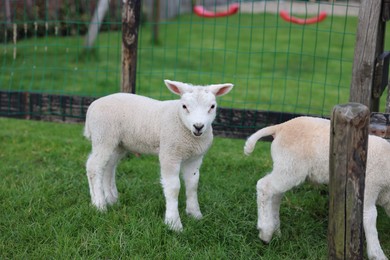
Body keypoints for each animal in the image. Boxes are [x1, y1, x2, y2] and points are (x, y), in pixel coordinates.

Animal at [84, 79, 233, 232]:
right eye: (184, 106)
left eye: (212, 106)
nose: (198, 126)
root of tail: (92, 107)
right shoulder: (169, 154)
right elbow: (173, 187)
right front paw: (174, 223)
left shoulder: (195, 158)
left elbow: (193, 184)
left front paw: (195, 214)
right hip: (103, 136)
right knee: (93, 167)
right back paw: (99, 204)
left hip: (118, 144)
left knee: (108, 167)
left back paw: (112, 199)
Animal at [244, 116, 390, 260]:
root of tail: (280, 127)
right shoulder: (369, 186)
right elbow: (370, 216)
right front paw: (377, 254)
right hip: (291, 166)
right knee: (264, 186)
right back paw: (265, 231)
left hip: (286, 167)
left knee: (275, 195)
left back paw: (276, 231)